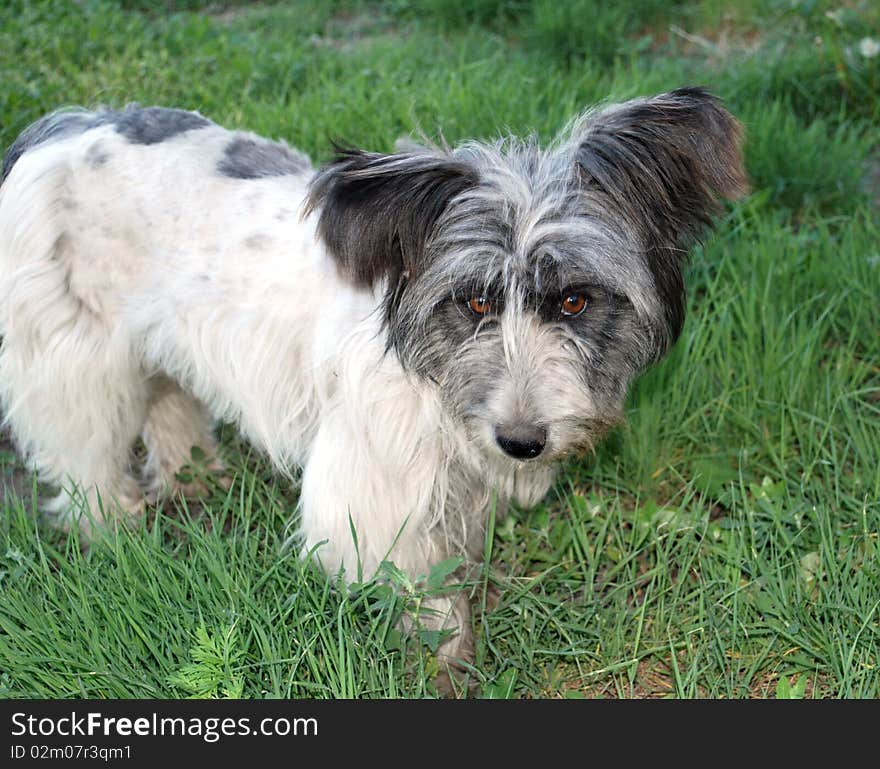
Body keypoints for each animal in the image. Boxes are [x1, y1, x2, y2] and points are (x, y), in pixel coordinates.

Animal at [0, 87, 744, 668]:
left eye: (574, 301)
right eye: (474, 302)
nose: (522, 442)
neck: (433, 374)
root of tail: (62, 128)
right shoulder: (373, 491)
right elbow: (421, 586)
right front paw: (445, 655)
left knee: (169, 403)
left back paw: (196, 478)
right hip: (77, 362)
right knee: (85, 460)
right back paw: (115, 534)